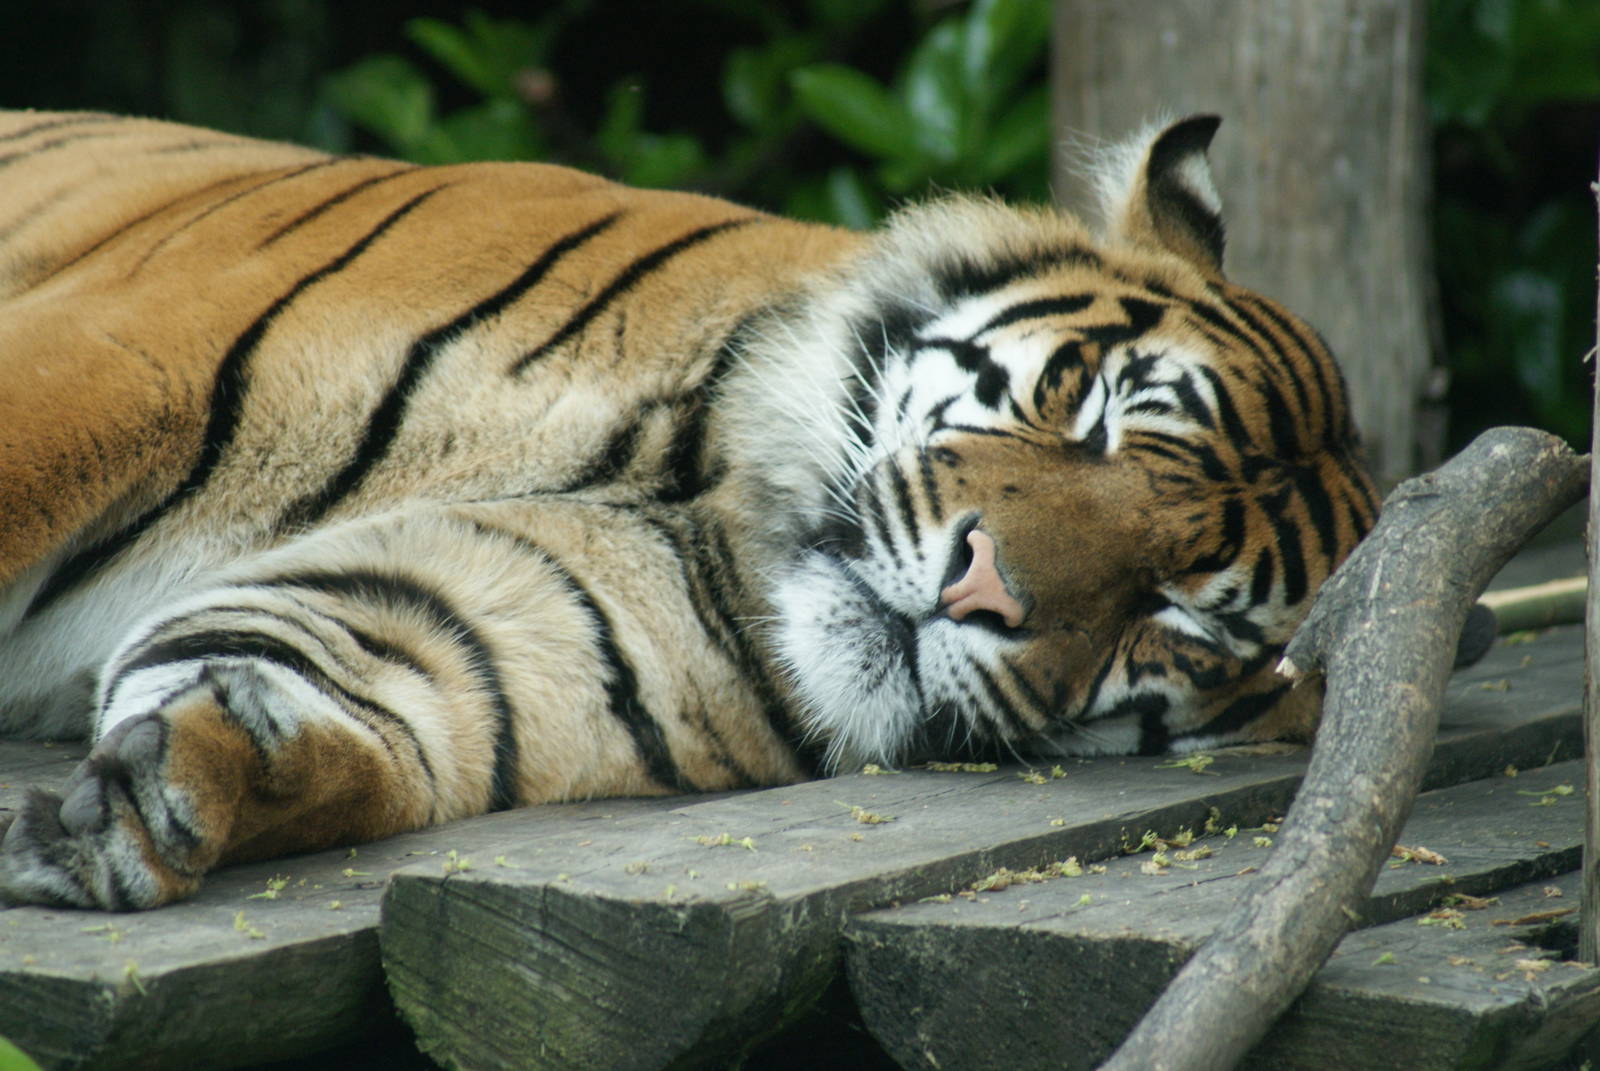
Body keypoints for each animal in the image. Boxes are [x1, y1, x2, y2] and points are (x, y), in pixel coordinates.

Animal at [0, 109, 1376, 911]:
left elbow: (345, 697)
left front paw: (172, 789)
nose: (982, 591)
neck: (701, 476)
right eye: (1090, 408)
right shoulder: (115, 359)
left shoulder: (499, 613)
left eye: (1184, 625)